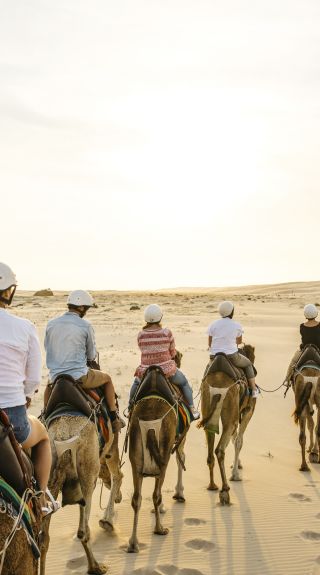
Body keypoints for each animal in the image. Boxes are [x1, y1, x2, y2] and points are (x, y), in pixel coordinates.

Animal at [127, 368, 188, 552]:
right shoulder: (179, 439)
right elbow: (181, 458)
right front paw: (179, 494)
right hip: (164, 452)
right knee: (156, 493)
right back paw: (159, 529)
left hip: (135, 457)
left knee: (137, 498)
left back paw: (133, 543)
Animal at [201, 346, 256, 504]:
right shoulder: (248, 411)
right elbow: (238, 441)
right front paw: (235, 474)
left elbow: (234, 438)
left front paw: (237, 465)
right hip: (230, 412)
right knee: (220, 449)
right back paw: (225, 491)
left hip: (208, 407)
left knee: (210, 447)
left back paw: (212, 485)